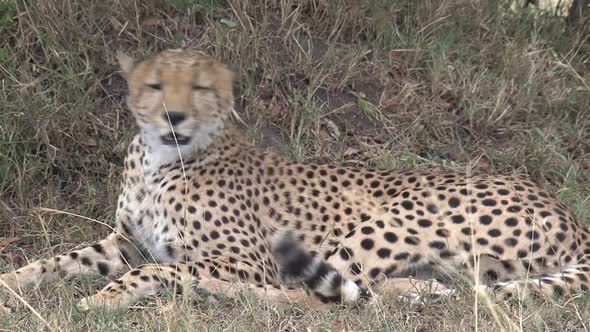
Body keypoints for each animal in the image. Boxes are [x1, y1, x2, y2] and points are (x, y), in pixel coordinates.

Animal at [1, 49, 590, 312]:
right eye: (154, 85)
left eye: (200, 86)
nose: (174, 117)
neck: (158, 159)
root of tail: (570, 215)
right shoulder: (122, 241)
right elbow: (54, 262)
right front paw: (12, 284)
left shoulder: (248, 259)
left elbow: (163, 267)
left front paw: (104, 299)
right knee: (380, 291)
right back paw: (420, 289)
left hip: (390, 219)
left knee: (307, 297)